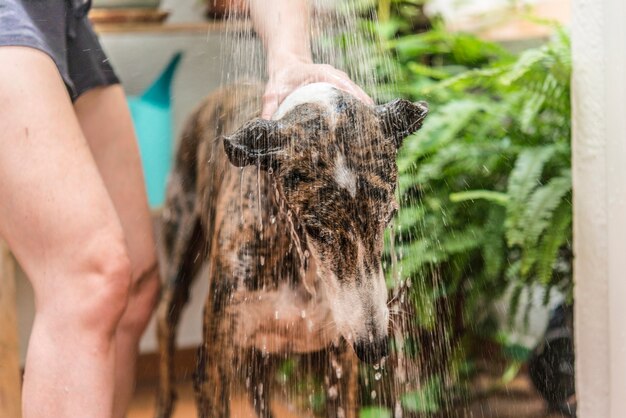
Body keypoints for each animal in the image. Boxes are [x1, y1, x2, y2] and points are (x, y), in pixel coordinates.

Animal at [154, 82, 426, 418]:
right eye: (315, 228)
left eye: (388, 217)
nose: (375, 348)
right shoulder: (214, 364)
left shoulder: (340, 363)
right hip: (180, 241)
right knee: (165, 317)